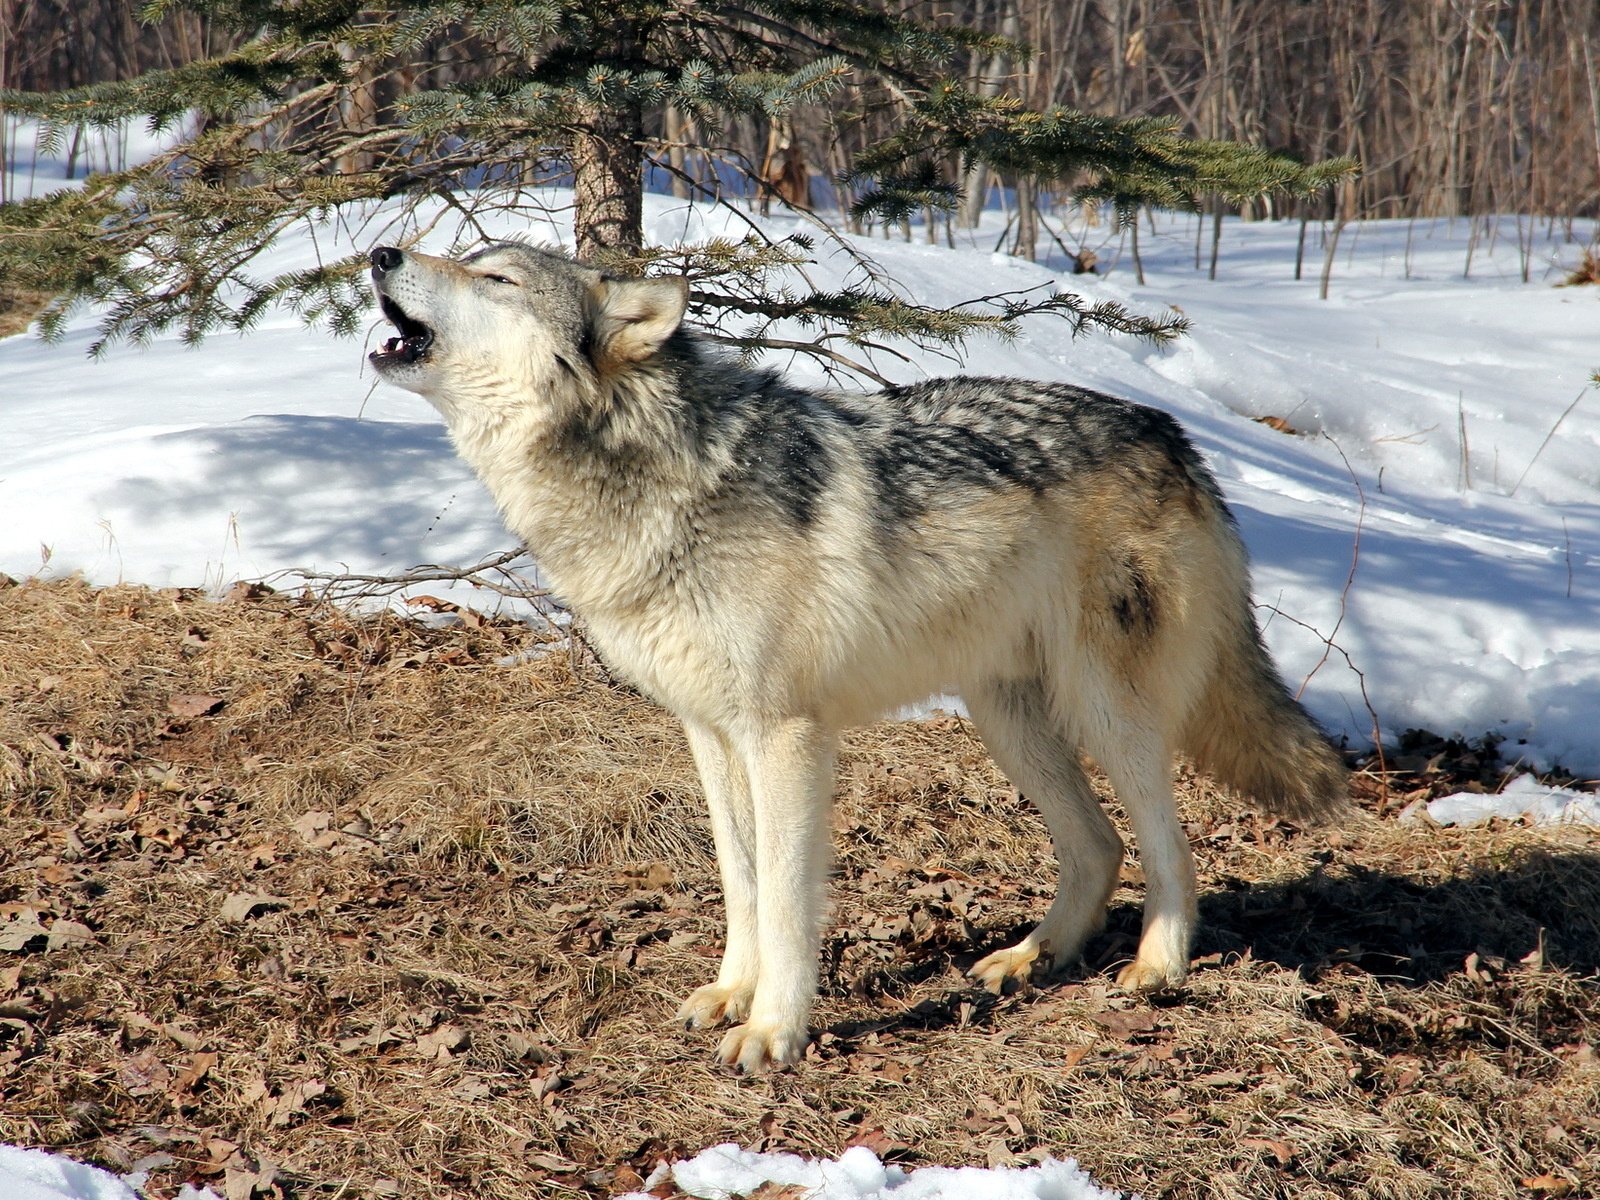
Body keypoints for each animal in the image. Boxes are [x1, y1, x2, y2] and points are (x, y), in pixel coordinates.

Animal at [366, 240, 1350, 1075]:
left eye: (495, 278)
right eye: (464, 256)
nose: (378, 252)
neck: (657, 478)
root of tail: (1176, 437)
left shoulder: (787, 735)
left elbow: (788, 898)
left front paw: (775, 1031)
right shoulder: (710, 733)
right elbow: (741, 880)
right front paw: (733, 992)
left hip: (1107, 713)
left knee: (1168, 845)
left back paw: (1157, 968)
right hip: (1008, 723)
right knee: (1099, 846)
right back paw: (1027, 959)